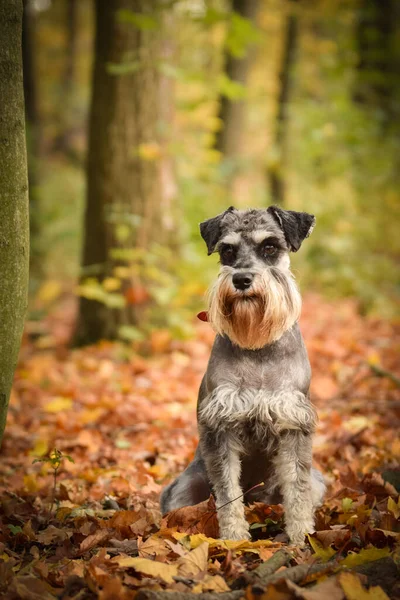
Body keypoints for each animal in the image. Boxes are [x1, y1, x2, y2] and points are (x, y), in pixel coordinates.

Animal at [161, 205, 326, 544]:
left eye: (270, 247)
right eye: (227, 251)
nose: (241, 279)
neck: (257, 348)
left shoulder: (294, 424)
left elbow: (298, 488)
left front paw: (301, 537)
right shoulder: (221, 425)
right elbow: (227, 491)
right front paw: (234, 538)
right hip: (185, 488)